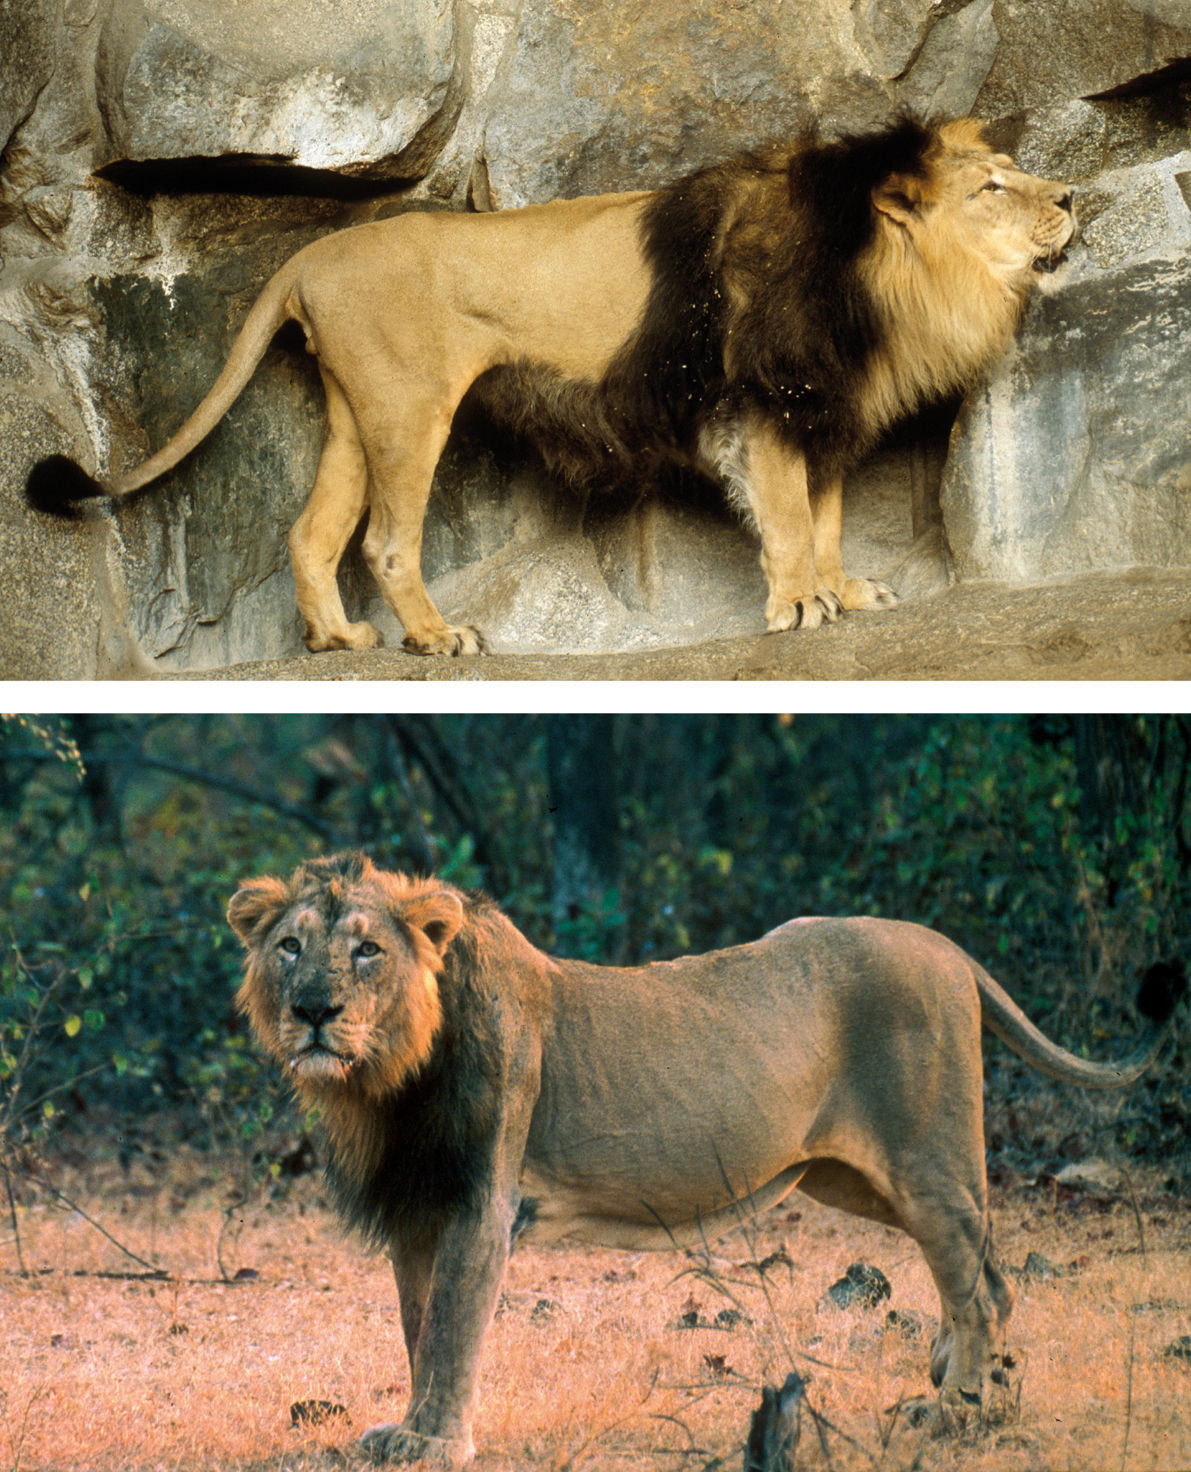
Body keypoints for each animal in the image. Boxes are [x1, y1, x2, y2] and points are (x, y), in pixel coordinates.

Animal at [27, 117, 1075, 657]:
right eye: (991, 187)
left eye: (1018, 172)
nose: (1068, 196)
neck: (882, 280)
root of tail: (311, 253)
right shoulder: (760, 402)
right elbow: (783, 517)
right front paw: (795, 607)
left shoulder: (818, 407)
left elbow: (823, 518)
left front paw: (842, 591)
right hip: (412, 407)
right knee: (385, 541)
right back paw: (436, 638)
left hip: (356, 413)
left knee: (311, 532)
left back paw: (338, 642)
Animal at [228, 852, 1181, 1466]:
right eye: (289, 947)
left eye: (366, 949)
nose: (313, 1010)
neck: (386, 1081)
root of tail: (946, 947)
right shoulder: (418, 1212)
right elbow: (421, 1328)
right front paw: (414, 1428)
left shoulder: (478, 1203)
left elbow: (452, 1332)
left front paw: (429, 1443)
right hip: (852, 1177)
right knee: (990, 1275)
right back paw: (970, 1385)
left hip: (924, 1162)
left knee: (978, 1284)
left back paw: (950, 1411)